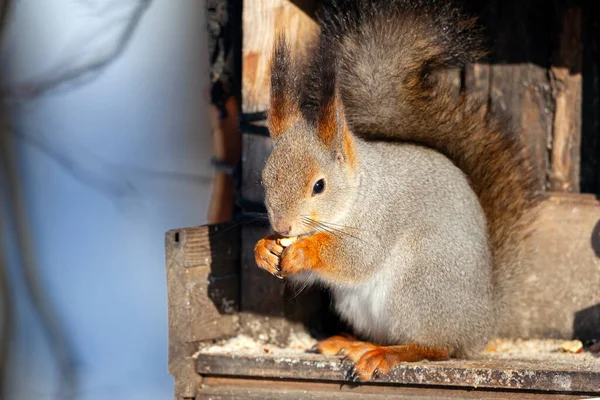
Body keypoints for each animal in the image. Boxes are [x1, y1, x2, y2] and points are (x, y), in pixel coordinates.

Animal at [253, 0, 540, 382]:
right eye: (263, 179)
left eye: (319, 185)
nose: (283, 227)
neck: (358, 192)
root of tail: (481, 322)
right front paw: (264, 248)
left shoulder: (382, 219)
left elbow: (357, 258)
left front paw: (302, 251)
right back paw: (354, 344)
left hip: (418, 286)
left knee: (436, 347)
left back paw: (387, 355)